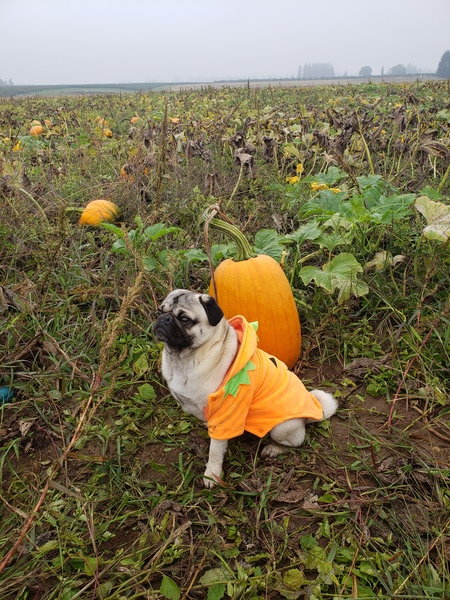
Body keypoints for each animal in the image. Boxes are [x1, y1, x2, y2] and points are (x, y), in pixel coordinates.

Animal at [153, 290, 336, 488]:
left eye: (184, 319)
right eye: (159, 311)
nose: (164, 319)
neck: (183, 359)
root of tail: (313, 411)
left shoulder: (224, 416)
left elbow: (214, 452)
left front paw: (212, 474)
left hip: (281, 428)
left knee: (296, 442)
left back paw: (274, 449)